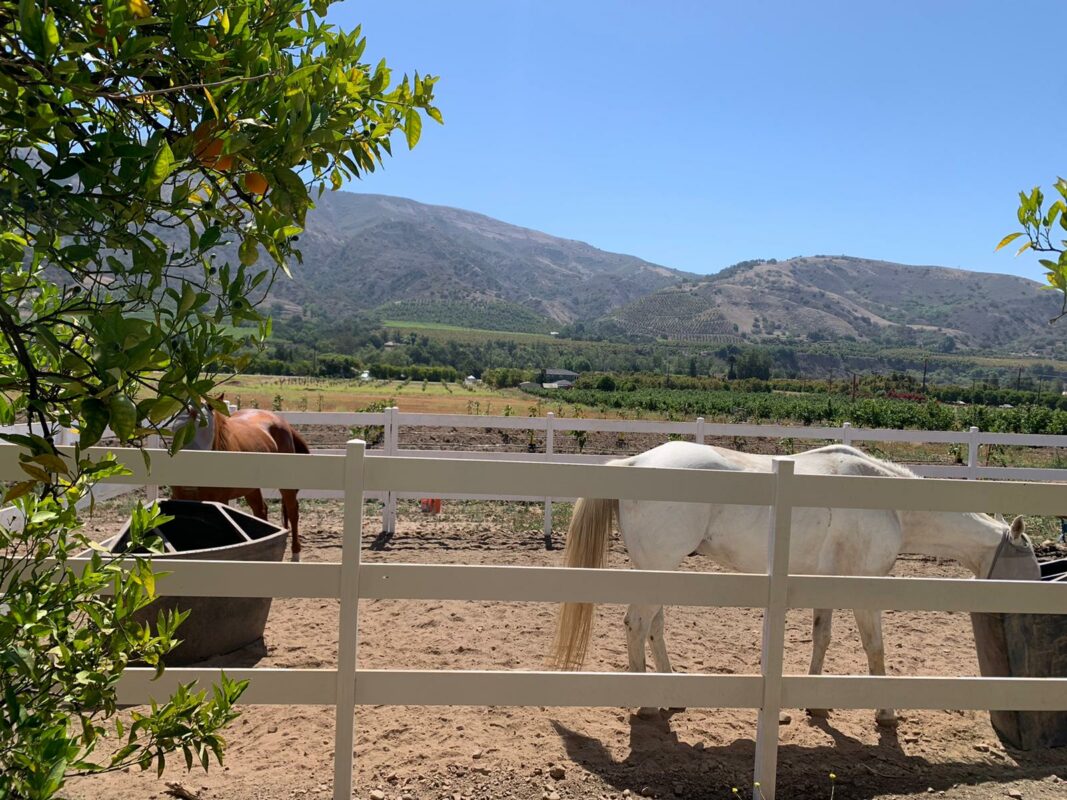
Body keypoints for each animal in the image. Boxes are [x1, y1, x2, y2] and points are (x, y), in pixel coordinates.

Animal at [170, 403, 310, 559]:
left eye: (205, 429)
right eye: (175, 428)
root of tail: (282, 422)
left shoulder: (220, 501)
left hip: (286, 485)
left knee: (292, 512)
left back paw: (296, 554)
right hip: (251, 488)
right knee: (261, 510)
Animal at [549, 441, 1039, 727]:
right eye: (1033, 566)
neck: (886, 500)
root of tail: (637, 460)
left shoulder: (827, 586)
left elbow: (822, 637)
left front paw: (816, 703)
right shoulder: (865, 588)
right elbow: (875, 648)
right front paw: (885, 713)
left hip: (660, 571)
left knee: (654, 627)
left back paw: (670, 694)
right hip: (658, 569)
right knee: (636, 625)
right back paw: (647, 705)